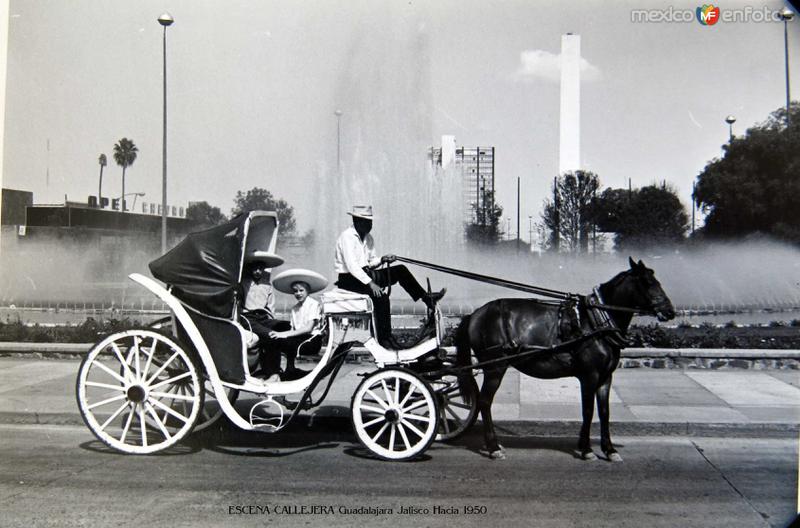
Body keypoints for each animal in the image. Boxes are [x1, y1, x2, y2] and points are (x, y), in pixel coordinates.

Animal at [456, 258, 676, 460]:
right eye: (648, 282)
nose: (670, 311)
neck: (596, 322)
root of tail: (474, 314)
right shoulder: (590, 375)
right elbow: (588, 410)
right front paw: (586, 449)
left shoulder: (605, 377)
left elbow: (604, 412)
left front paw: (609, 449)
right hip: (495, 367)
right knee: (484, 402)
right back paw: (493, 446)